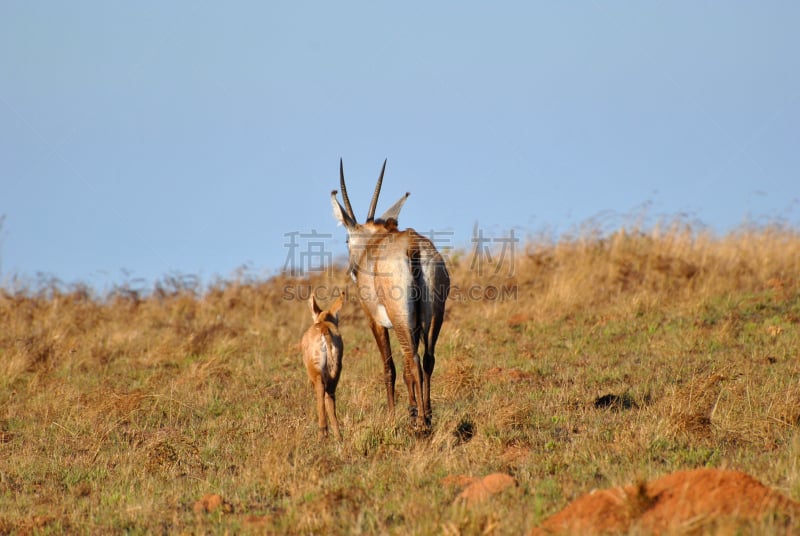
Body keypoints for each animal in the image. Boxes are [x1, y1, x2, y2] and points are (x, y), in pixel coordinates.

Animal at [302, 294, 346, 440]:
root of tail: (324, 329)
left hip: (317, 374)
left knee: (321, 393)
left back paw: (322, 433)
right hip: (335, 374)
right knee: (330, 399)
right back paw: (338, 437)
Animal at [328, 159, 446, 432]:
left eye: (347, 239)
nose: (352, 271)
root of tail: (412, 245)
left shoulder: (376, 322)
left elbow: (389, 367)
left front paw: (393, 416)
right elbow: (404, 368)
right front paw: (411, 409)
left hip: (400, 318)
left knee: (413, 360)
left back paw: (421, 424)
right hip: (432, 318)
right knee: (426, 359)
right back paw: (428, 416)